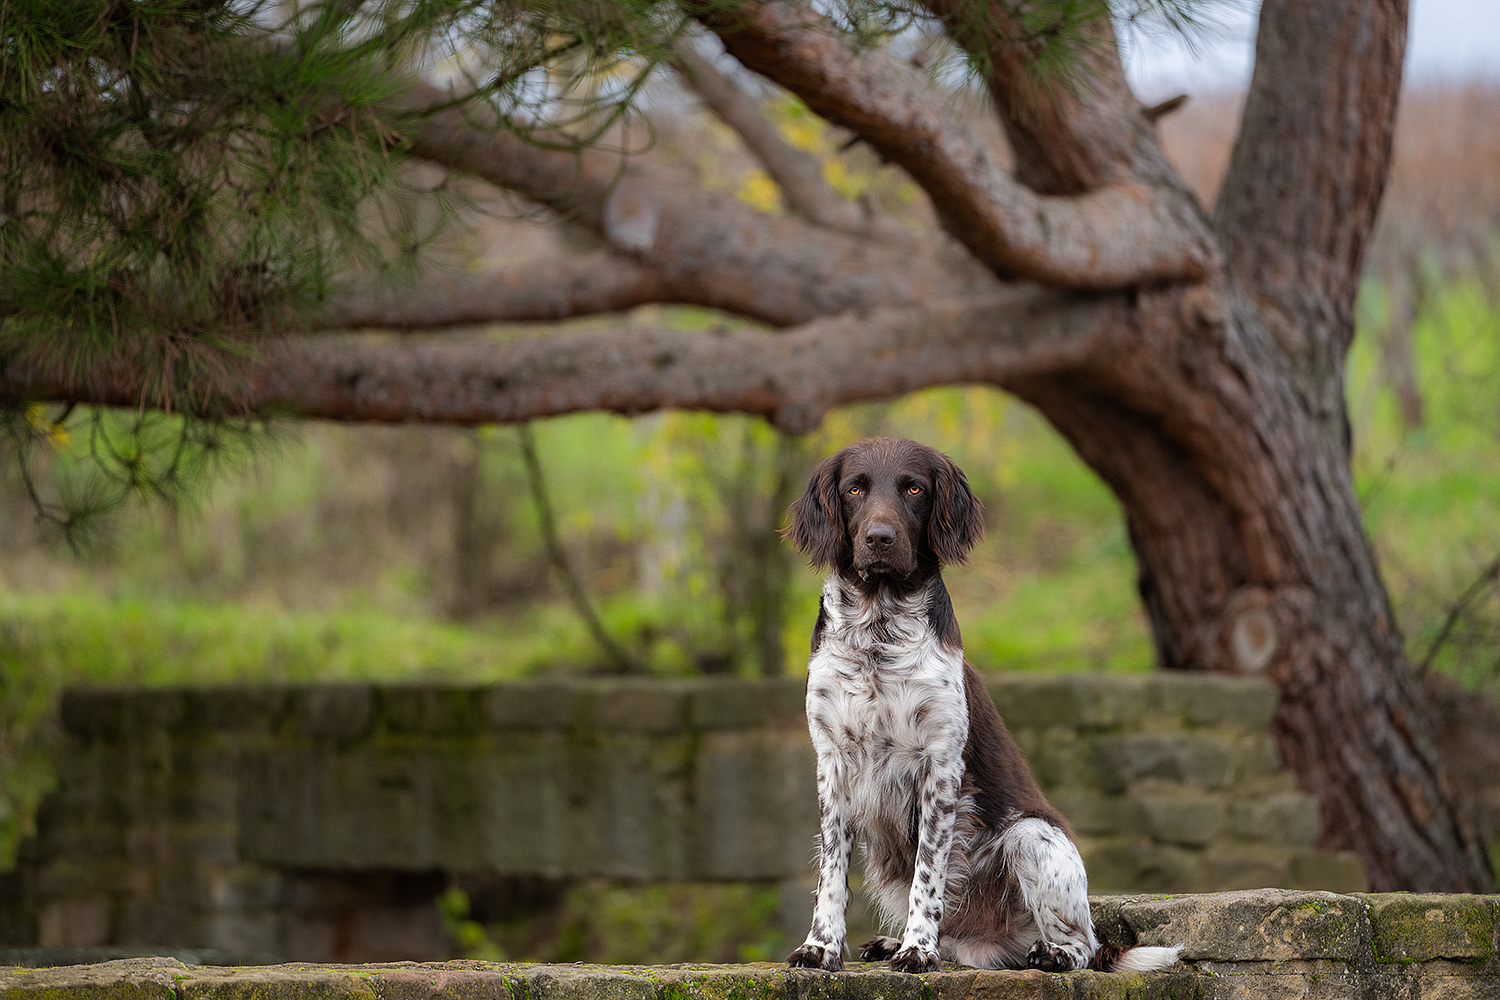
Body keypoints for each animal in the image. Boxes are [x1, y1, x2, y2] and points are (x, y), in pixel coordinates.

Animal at [780, 437, 1176, 977]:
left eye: (914, 488)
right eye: (854, 489)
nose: (880, 538)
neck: (879, 635)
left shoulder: (940, 767)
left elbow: (929, 874)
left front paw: (917, 950)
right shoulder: (833, 764)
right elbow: (832, 875)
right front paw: (821, 947)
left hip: (1032, 837)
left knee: (1083, 945)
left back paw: (1048, 952)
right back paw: (895, 942)